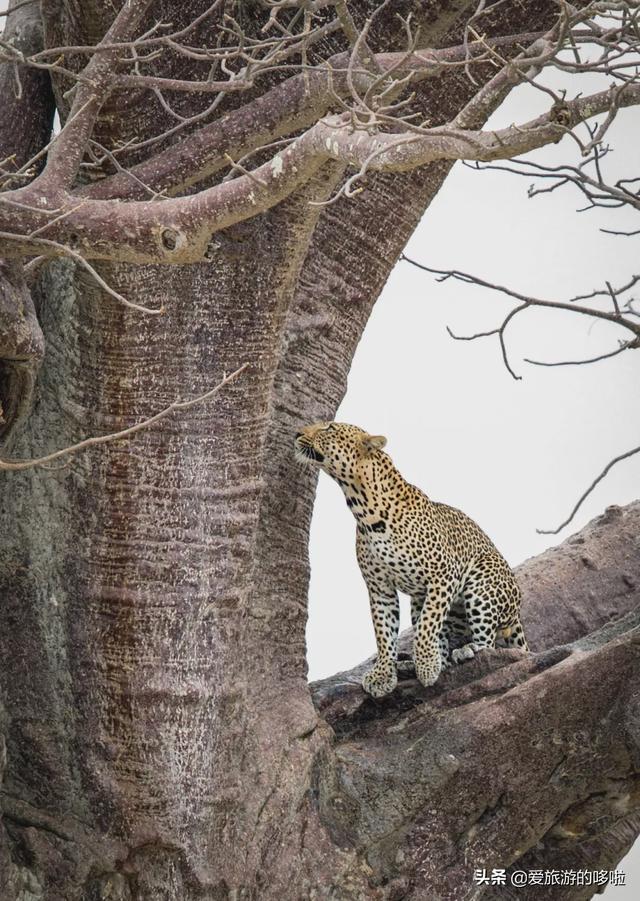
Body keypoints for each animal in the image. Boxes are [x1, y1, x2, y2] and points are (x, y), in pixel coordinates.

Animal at [292, 418, 528, 700]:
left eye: (329, 428)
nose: (296, 433)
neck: (364, 509)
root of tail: (517, 609)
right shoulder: (380, 589)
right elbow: (384, 633)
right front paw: (384, 674)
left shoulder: (442, 576)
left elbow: (427, 626)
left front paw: (426, 666)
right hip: (427, 603)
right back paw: (417, 663)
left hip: (482, 583)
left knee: (488, 642)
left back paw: (465, 651)